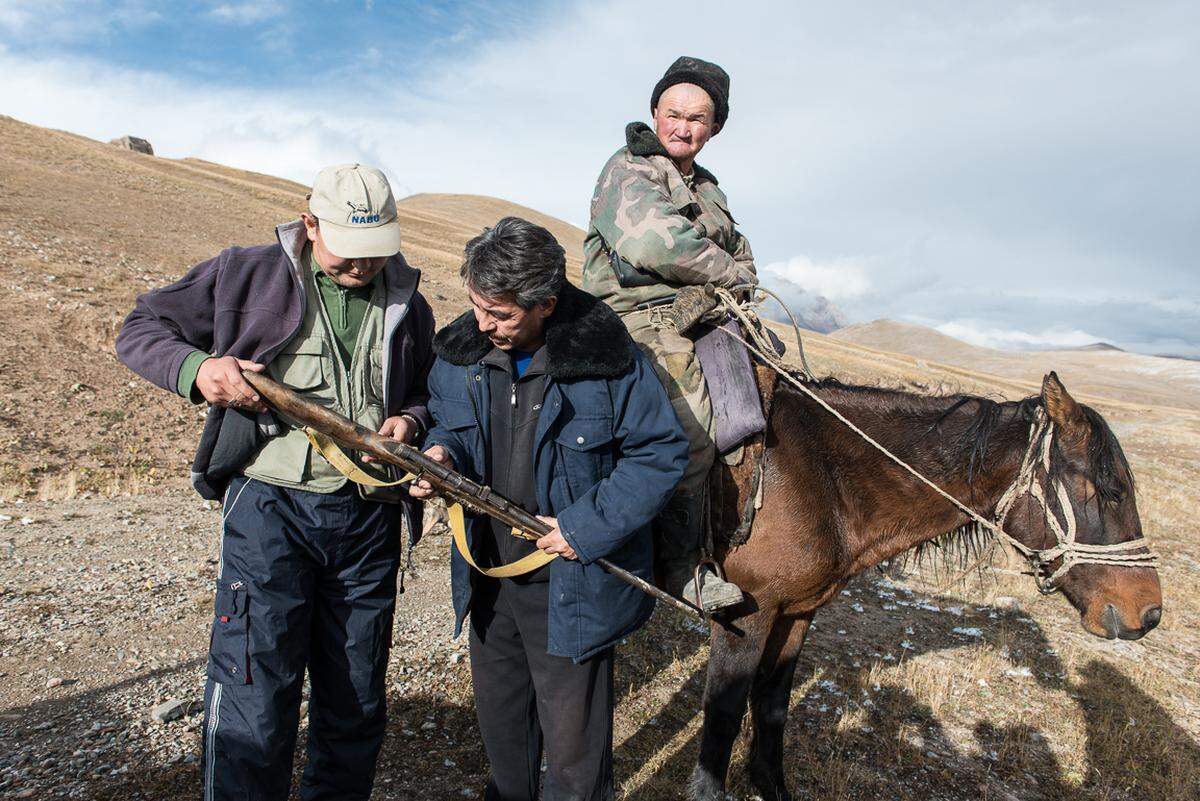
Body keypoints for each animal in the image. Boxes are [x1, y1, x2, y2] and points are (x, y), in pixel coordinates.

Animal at [696, 371, 1161, 801]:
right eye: (1113, 491)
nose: (1150, 612)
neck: (819, 474)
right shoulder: (748, 616)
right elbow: (723, 717)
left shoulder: (797, 612)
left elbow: (773, 705)